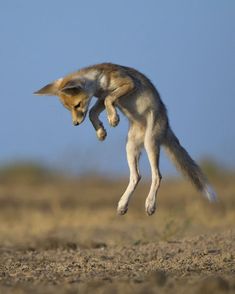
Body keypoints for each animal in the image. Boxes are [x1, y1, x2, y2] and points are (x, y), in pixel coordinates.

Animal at [35, 62, 217, 216]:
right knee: (136, 176)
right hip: (130, 147)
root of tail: (167, 126)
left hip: (150, 143)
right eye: (69, 109)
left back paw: (150, 204)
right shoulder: (101, 97)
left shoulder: (127, 84)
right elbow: (94, 112)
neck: (100, 81)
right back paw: (123, 205)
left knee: (157, 176)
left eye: (77, 105)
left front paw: (113, 119)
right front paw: (101, 131)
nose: (75, 124)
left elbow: (109, 100)